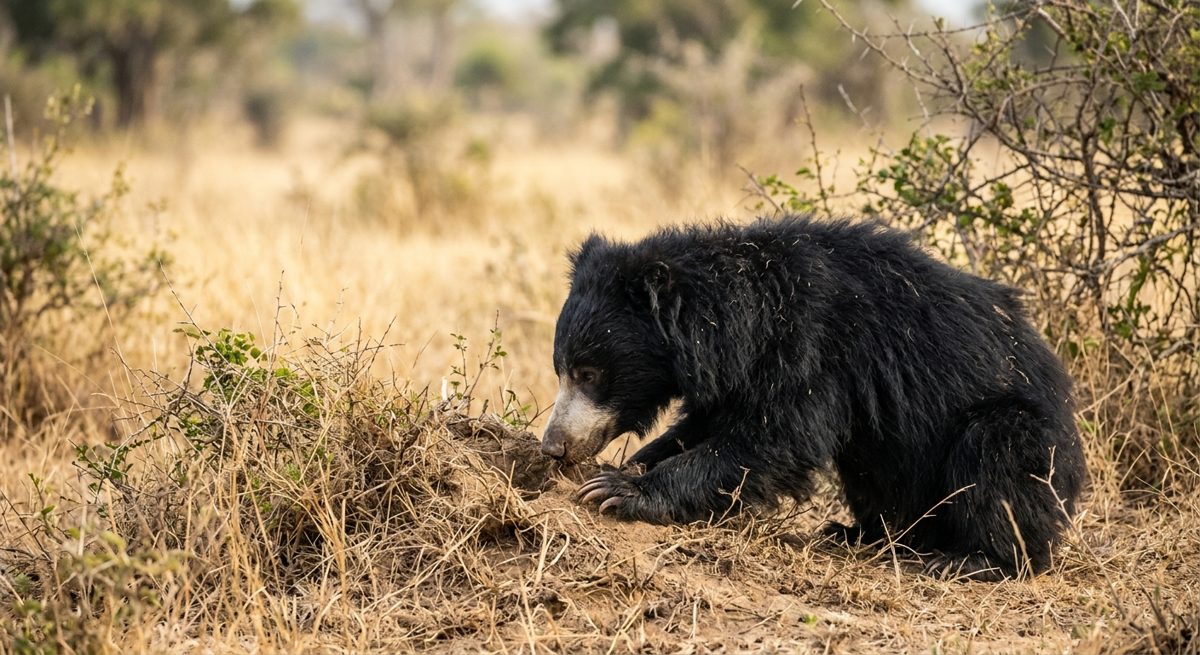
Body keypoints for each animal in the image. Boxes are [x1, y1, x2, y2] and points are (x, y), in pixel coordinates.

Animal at [539, 214, 1085, 581]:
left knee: (998, 464)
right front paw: (624, 469)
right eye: (561, 370)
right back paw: (854, 533)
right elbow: (705, 427)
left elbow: (776, 438)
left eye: (589, 373)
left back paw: (968, 559)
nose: (554, 446)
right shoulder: (738, 372)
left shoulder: (814, 350)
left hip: (1024, 437)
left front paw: (618, 490)